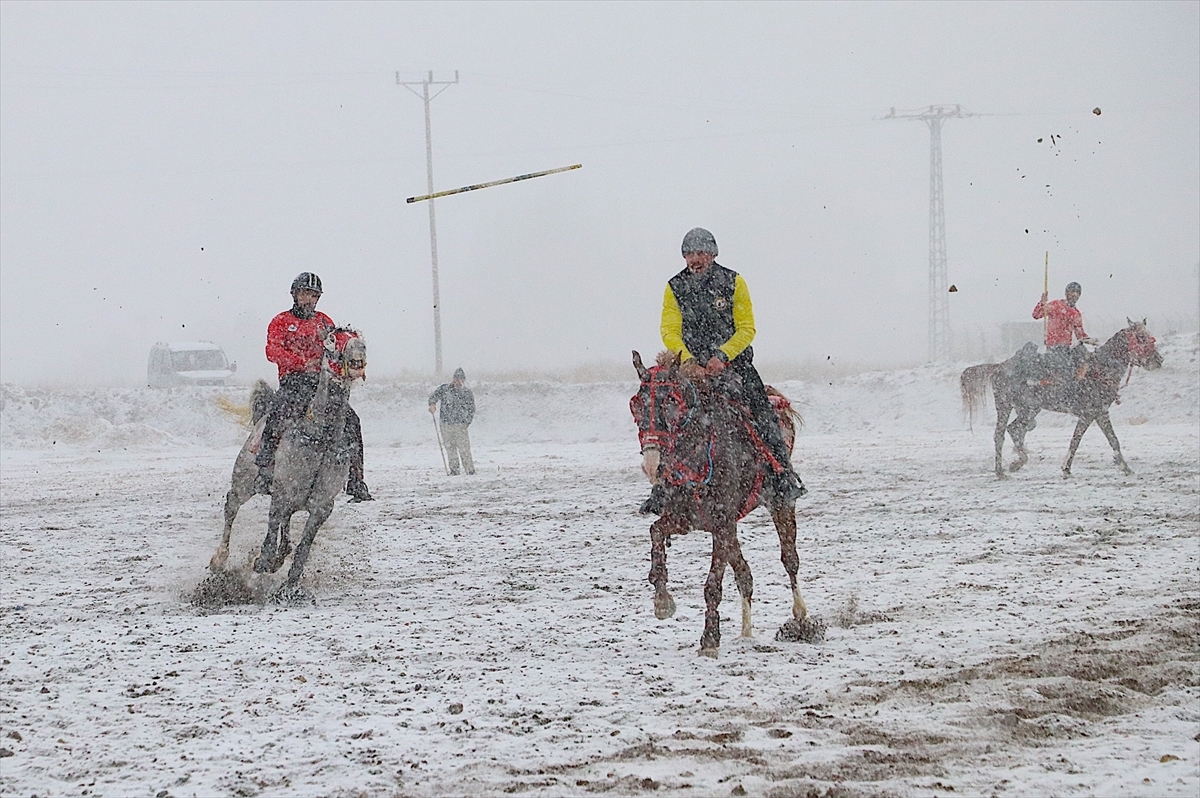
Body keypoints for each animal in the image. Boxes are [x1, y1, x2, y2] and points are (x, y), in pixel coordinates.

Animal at [208, 326, 364, 597]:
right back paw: (220, 559)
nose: (359, 351)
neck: (320, 438)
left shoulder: (322, 507)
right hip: (244, 483)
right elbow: (272, 526)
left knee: (286, 523)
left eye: (360, 339)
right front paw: (263, 560)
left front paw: (290, 587)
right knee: (232, 507)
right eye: (332, 340)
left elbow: (303, 547)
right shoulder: (282, 491)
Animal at [633, 352, 820, 657]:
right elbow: (656, 532)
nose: (651, 464)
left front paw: (709, 640)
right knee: (744, 574)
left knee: (790, 560)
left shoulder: (721, 522)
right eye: (637, 403)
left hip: (778, 504)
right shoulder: (690, 519)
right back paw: (746, 632)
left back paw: (801, 618)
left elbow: (713, 584)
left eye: (671, 400)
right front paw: (662, 600)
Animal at [964, 316, 1161, 480]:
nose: (1158, 360)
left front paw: (1125, 468)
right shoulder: (1089, 414)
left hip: (1028, 409)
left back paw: (1016, 462)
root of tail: (999, 366)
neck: (1100, 369)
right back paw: (1001, 470)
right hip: (1006, 405)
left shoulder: (1101, 413)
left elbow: (1113, 440)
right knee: (1000, 434)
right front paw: (1066, 468)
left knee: (1014, 429)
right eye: (1141, 337)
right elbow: (1076, 440)